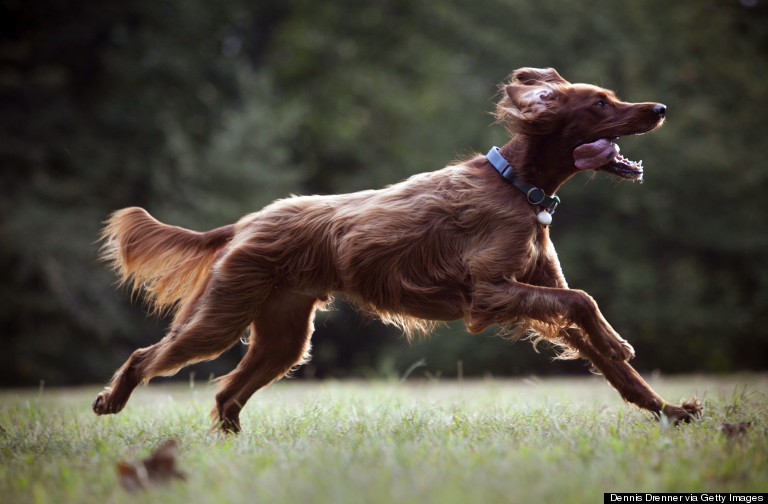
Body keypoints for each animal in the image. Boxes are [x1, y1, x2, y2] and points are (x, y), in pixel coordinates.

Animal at [91, 68, 704, 434]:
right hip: (220, 316)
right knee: (148, 357)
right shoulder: (489, 295)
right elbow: (585, 302)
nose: (660, 108)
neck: (517, 186)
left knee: (227, 395)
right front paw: (622, 342)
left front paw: (671, 411)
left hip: (284, 338)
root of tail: (244, 223)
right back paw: (110, 402)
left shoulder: (536, 295)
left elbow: (613, 362)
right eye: (600, 103)